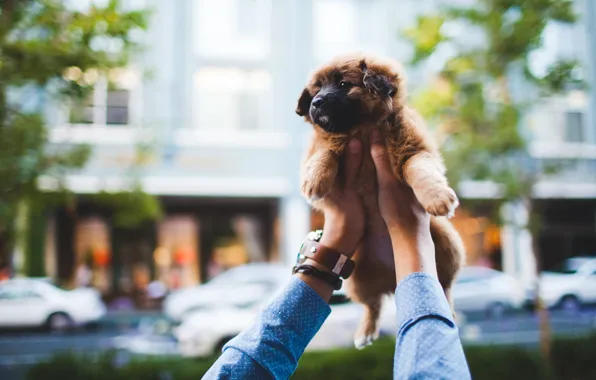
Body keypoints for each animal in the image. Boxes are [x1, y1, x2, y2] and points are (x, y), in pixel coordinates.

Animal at [294, 52, 466, 348]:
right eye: (316, 91)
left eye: (343, 84)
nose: (316, 103)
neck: (361, 129)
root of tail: (393, 279)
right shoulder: (324, 146)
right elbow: (325, 151)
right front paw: (315, 179)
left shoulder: (413, 151)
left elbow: (421, 171)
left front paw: (437, 196)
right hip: (356, 278)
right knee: (372, 305)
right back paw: (365, 331)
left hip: (446, 244)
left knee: (444, 285)